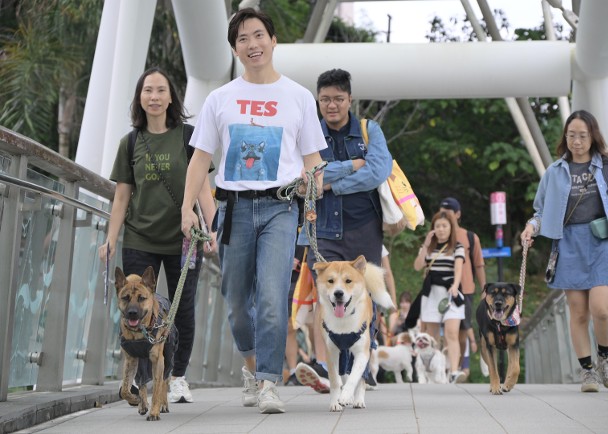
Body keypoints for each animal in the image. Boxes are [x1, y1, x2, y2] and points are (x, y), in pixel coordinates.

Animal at [115, 266, 178, 422]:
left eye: (141, 298)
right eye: (125, 298)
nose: (132, 313)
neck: (139, 333)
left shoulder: (157, 360)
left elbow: (157, 388)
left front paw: (154, 412)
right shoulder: (131, 360)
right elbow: (125, 389)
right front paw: (135, 399)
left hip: (168, 359)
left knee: (164, 381)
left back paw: (163, 405)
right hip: (141, 362)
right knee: (142, 381)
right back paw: (142, 404)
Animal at [314, 256, 394, 412]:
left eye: (348, 281)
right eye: (330, 281)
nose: (338, 293)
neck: (343, 322)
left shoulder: (362, 352)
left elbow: (354, 377)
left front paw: (345, 397)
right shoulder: (331, 352)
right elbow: (335, 380)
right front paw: (335, 402)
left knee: (360, 378)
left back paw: (357, 400)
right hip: (344, 352)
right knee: (344, 373)